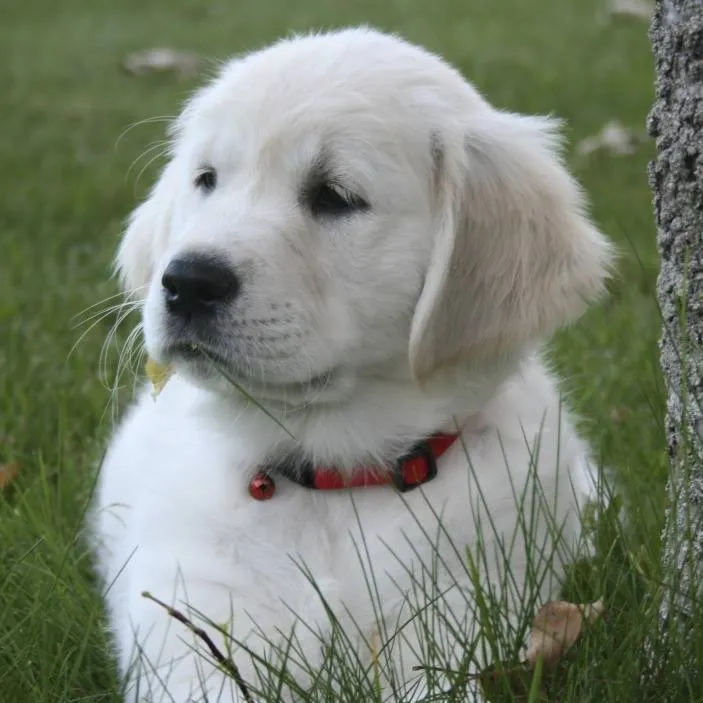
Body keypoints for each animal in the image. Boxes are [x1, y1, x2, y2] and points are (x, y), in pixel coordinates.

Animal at [92, 24, 612, 700]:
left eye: (334, 197)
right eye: (206, 179)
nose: (186, 281)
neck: (332, 480)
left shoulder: (459, 602)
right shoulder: (191, 606)